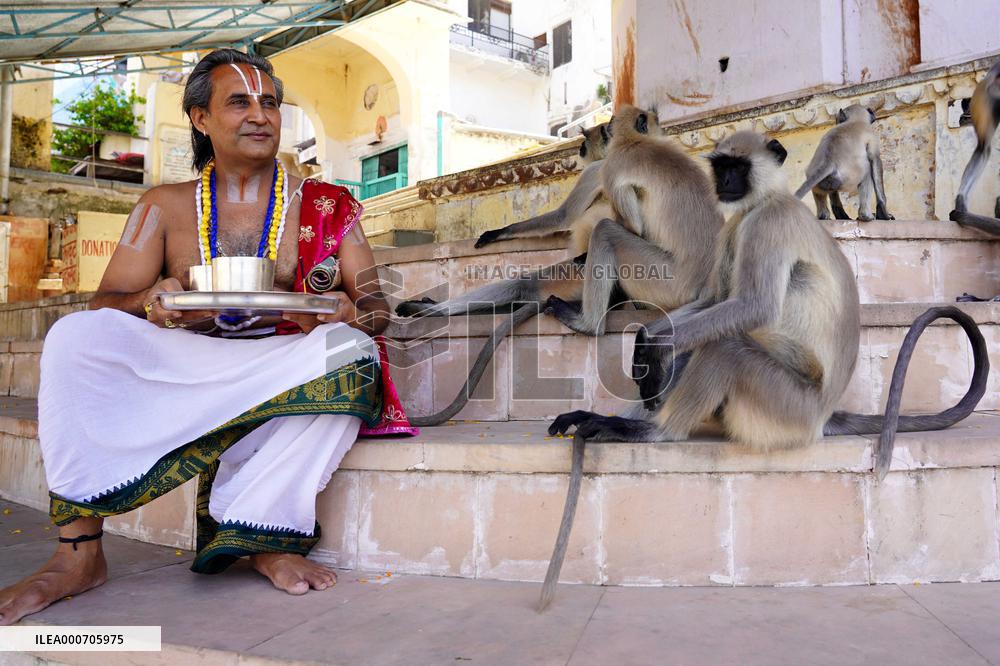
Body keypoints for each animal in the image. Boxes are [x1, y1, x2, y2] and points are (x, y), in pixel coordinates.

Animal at [537, 130, 989, 611]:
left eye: (739, 167)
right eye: (721, 167)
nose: (725, 183)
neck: (766, 200)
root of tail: (822, 415)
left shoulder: (767, 224)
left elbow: (752, 308)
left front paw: (652, 351)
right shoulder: (736, 225)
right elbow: (713, 300)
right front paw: (647, 347)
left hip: (785, 403)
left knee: (727, 346)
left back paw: (652, 431)